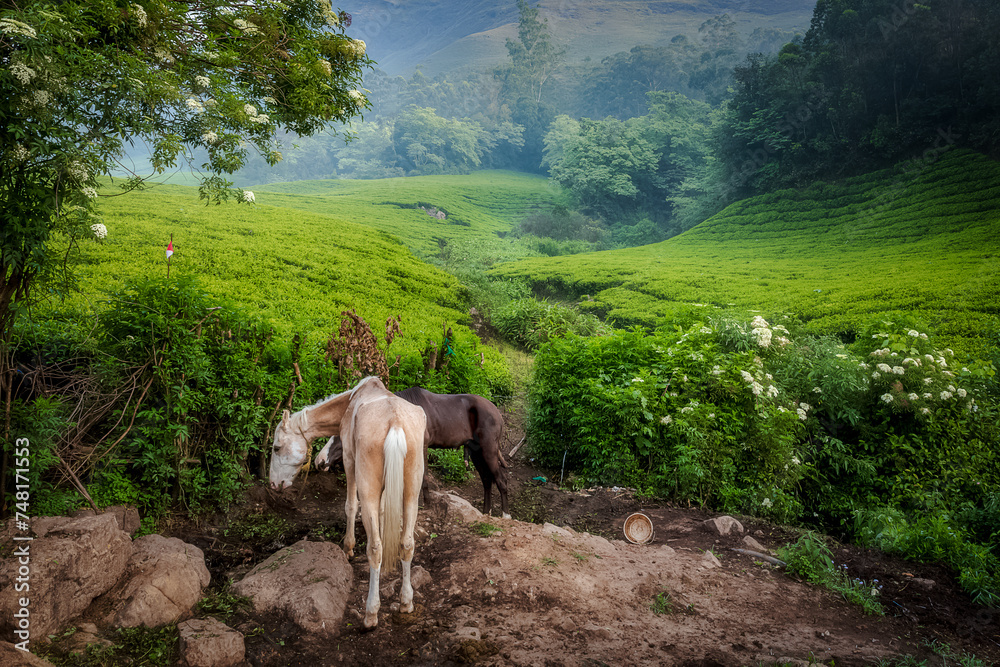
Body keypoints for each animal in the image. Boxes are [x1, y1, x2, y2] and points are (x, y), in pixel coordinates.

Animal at [269, 376, 426, 630]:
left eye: (276, 447)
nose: (274, 484)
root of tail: (394, 422)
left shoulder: (349, 462)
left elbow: (351, 506)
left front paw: (348, 547)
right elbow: (383, 513)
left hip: (367, 484)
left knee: (375, 549)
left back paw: (371, 613)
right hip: (411, 492)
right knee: (407, 544)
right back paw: (406, 602)